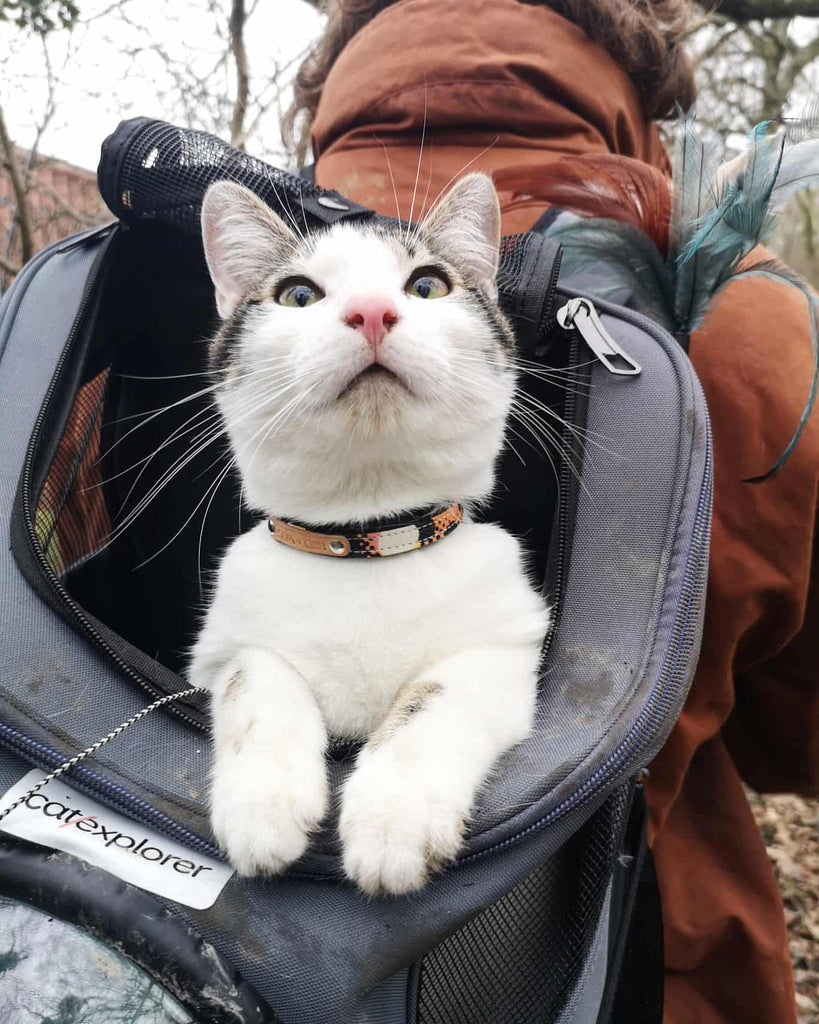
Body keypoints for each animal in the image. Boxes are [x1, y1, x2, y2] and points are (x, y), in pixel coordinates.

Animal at [190, 176, 548, 897]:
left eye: (428, 285)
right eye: (297, 295)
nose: (372, 311)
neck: (366, 543)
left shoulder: (504, 642)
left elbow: (431, 704)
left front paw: (393, 816)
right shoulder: (216, 652)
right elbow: (253, 677)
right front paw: (261, 804)